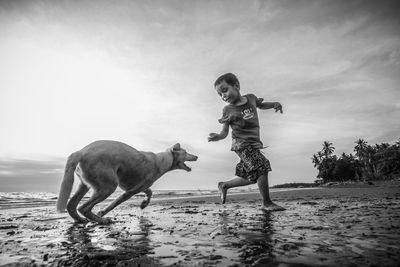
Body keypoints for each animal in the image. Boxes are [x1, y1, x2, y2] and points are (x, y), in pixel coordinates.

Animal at [56, 141, 198, 225]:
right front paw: (102, 213)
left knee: (71, 205)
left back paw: (80, 220)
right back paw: (102, 220)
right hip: (108, 187)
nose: (197, 156)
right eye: (186, 152)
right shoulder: (130, 191)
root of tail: (81, 151)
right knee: (83, 207)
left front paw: (144, 204)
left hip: (85, 185)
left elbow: (150, 192)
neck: (164, 160)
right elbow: (113, 204)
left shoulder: (137, 187)